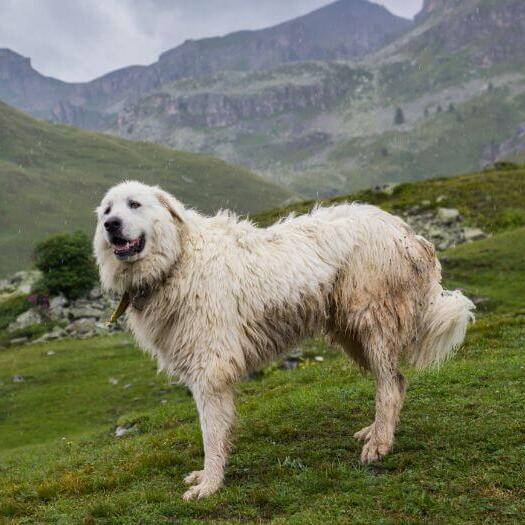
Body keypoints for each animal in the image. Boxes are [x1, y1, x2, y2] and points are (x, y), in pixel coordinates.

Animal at [94, 181, 474, 500]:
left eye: (134, 204)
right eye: (107, 209)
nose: (111, 224)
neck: (178, 260)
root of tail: (406, 232)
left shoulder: (210, 369)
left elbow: (211, 433)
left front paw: (210, 484)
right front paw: (207, 477)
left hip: (372, 323)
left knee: (390, 385)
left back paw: (379, 444)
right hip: (352, 334)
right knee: (396, 381)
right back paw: (376, 431)